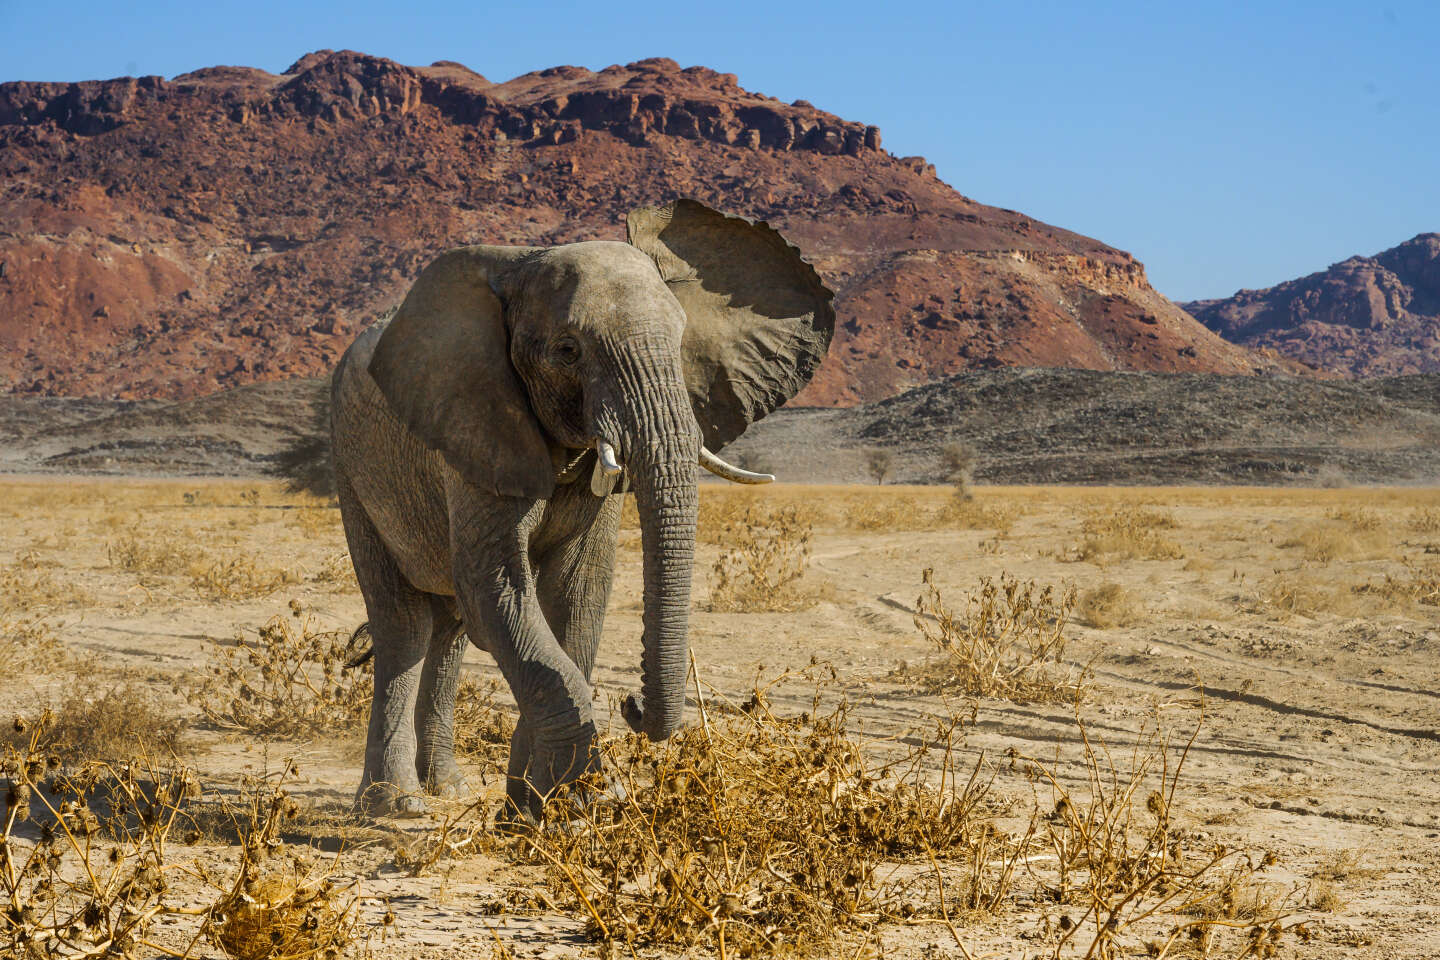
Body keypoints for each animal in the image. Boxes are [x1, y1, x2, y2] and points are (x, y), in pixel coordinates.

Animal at [331, 197, 840, 817]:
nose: (632, 706)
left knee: (450, 629)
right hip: (352, 468)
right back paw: (395, 804)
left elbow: (576, 592)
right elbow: (498, 591)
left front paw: (534, 807)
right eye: (568, 351)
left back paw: (447, 788)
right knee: (404, 624)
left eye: (680, 342)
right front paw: (574, 806)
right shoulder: (475, 421)